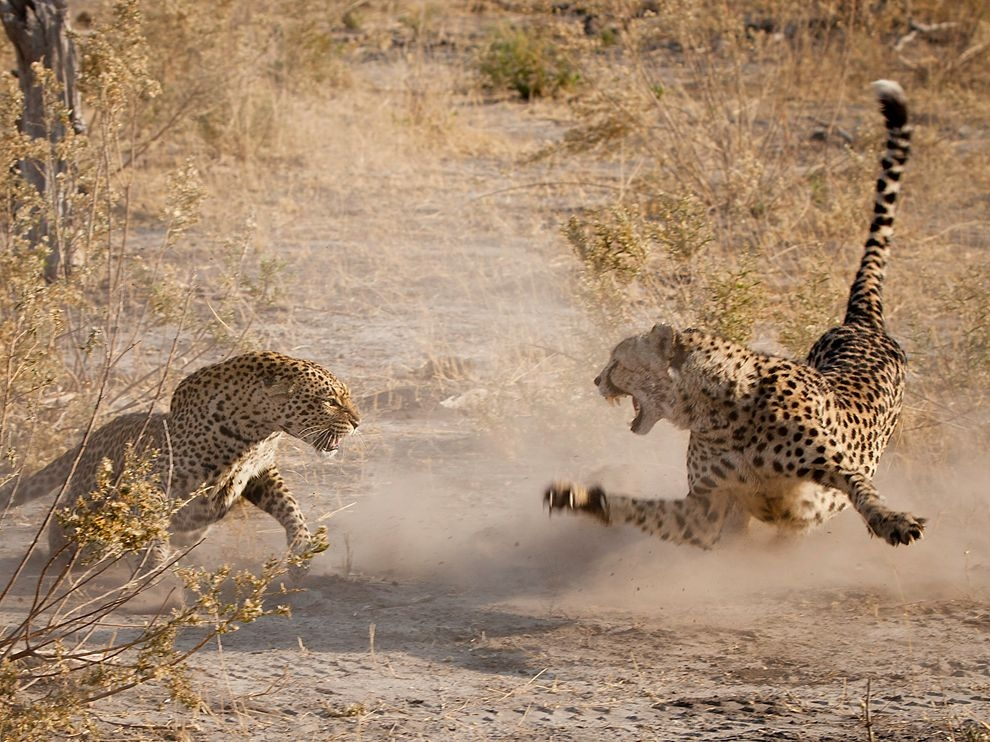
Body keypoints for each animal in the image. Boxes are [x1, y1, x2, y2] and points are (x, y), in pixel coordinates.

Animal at [0, 352, 360, 572]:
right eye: (330, 401)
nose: (358, 422)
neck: (256, 430)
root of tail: (96, 433)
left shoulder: (259, 471)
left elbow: (289, 507)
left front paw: (301, 551)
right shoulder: (156, 479)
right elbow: (153, 524)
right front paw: (156, 570)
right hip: (87, 498)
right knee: (67, 523)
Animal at [548, 81, 928, 548]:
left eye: (618, 360)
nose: (596, 380)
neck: (717, 410)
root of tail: (860, 323)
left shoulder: (831, 467)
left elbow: (860, 486)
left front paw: (892, 520)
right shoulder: (707, 512)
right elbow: (640, 508)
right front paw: (579, 497)